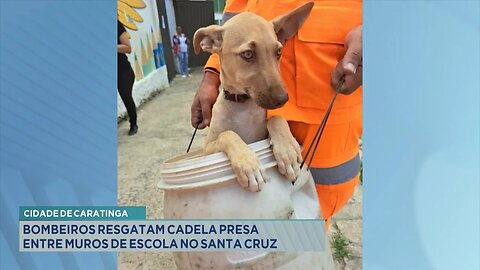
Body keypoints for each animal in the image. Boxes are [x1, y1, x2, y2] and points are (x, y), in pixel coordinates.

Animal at [193, 2, 314, 192]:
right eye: (248, 54)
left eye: (278, 52)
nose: (282, 99)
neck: (244, 107)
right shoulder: (207, 148)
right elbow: (227, 133)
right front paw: (248, 164)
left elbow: (276, 119)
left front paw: (288, 152)